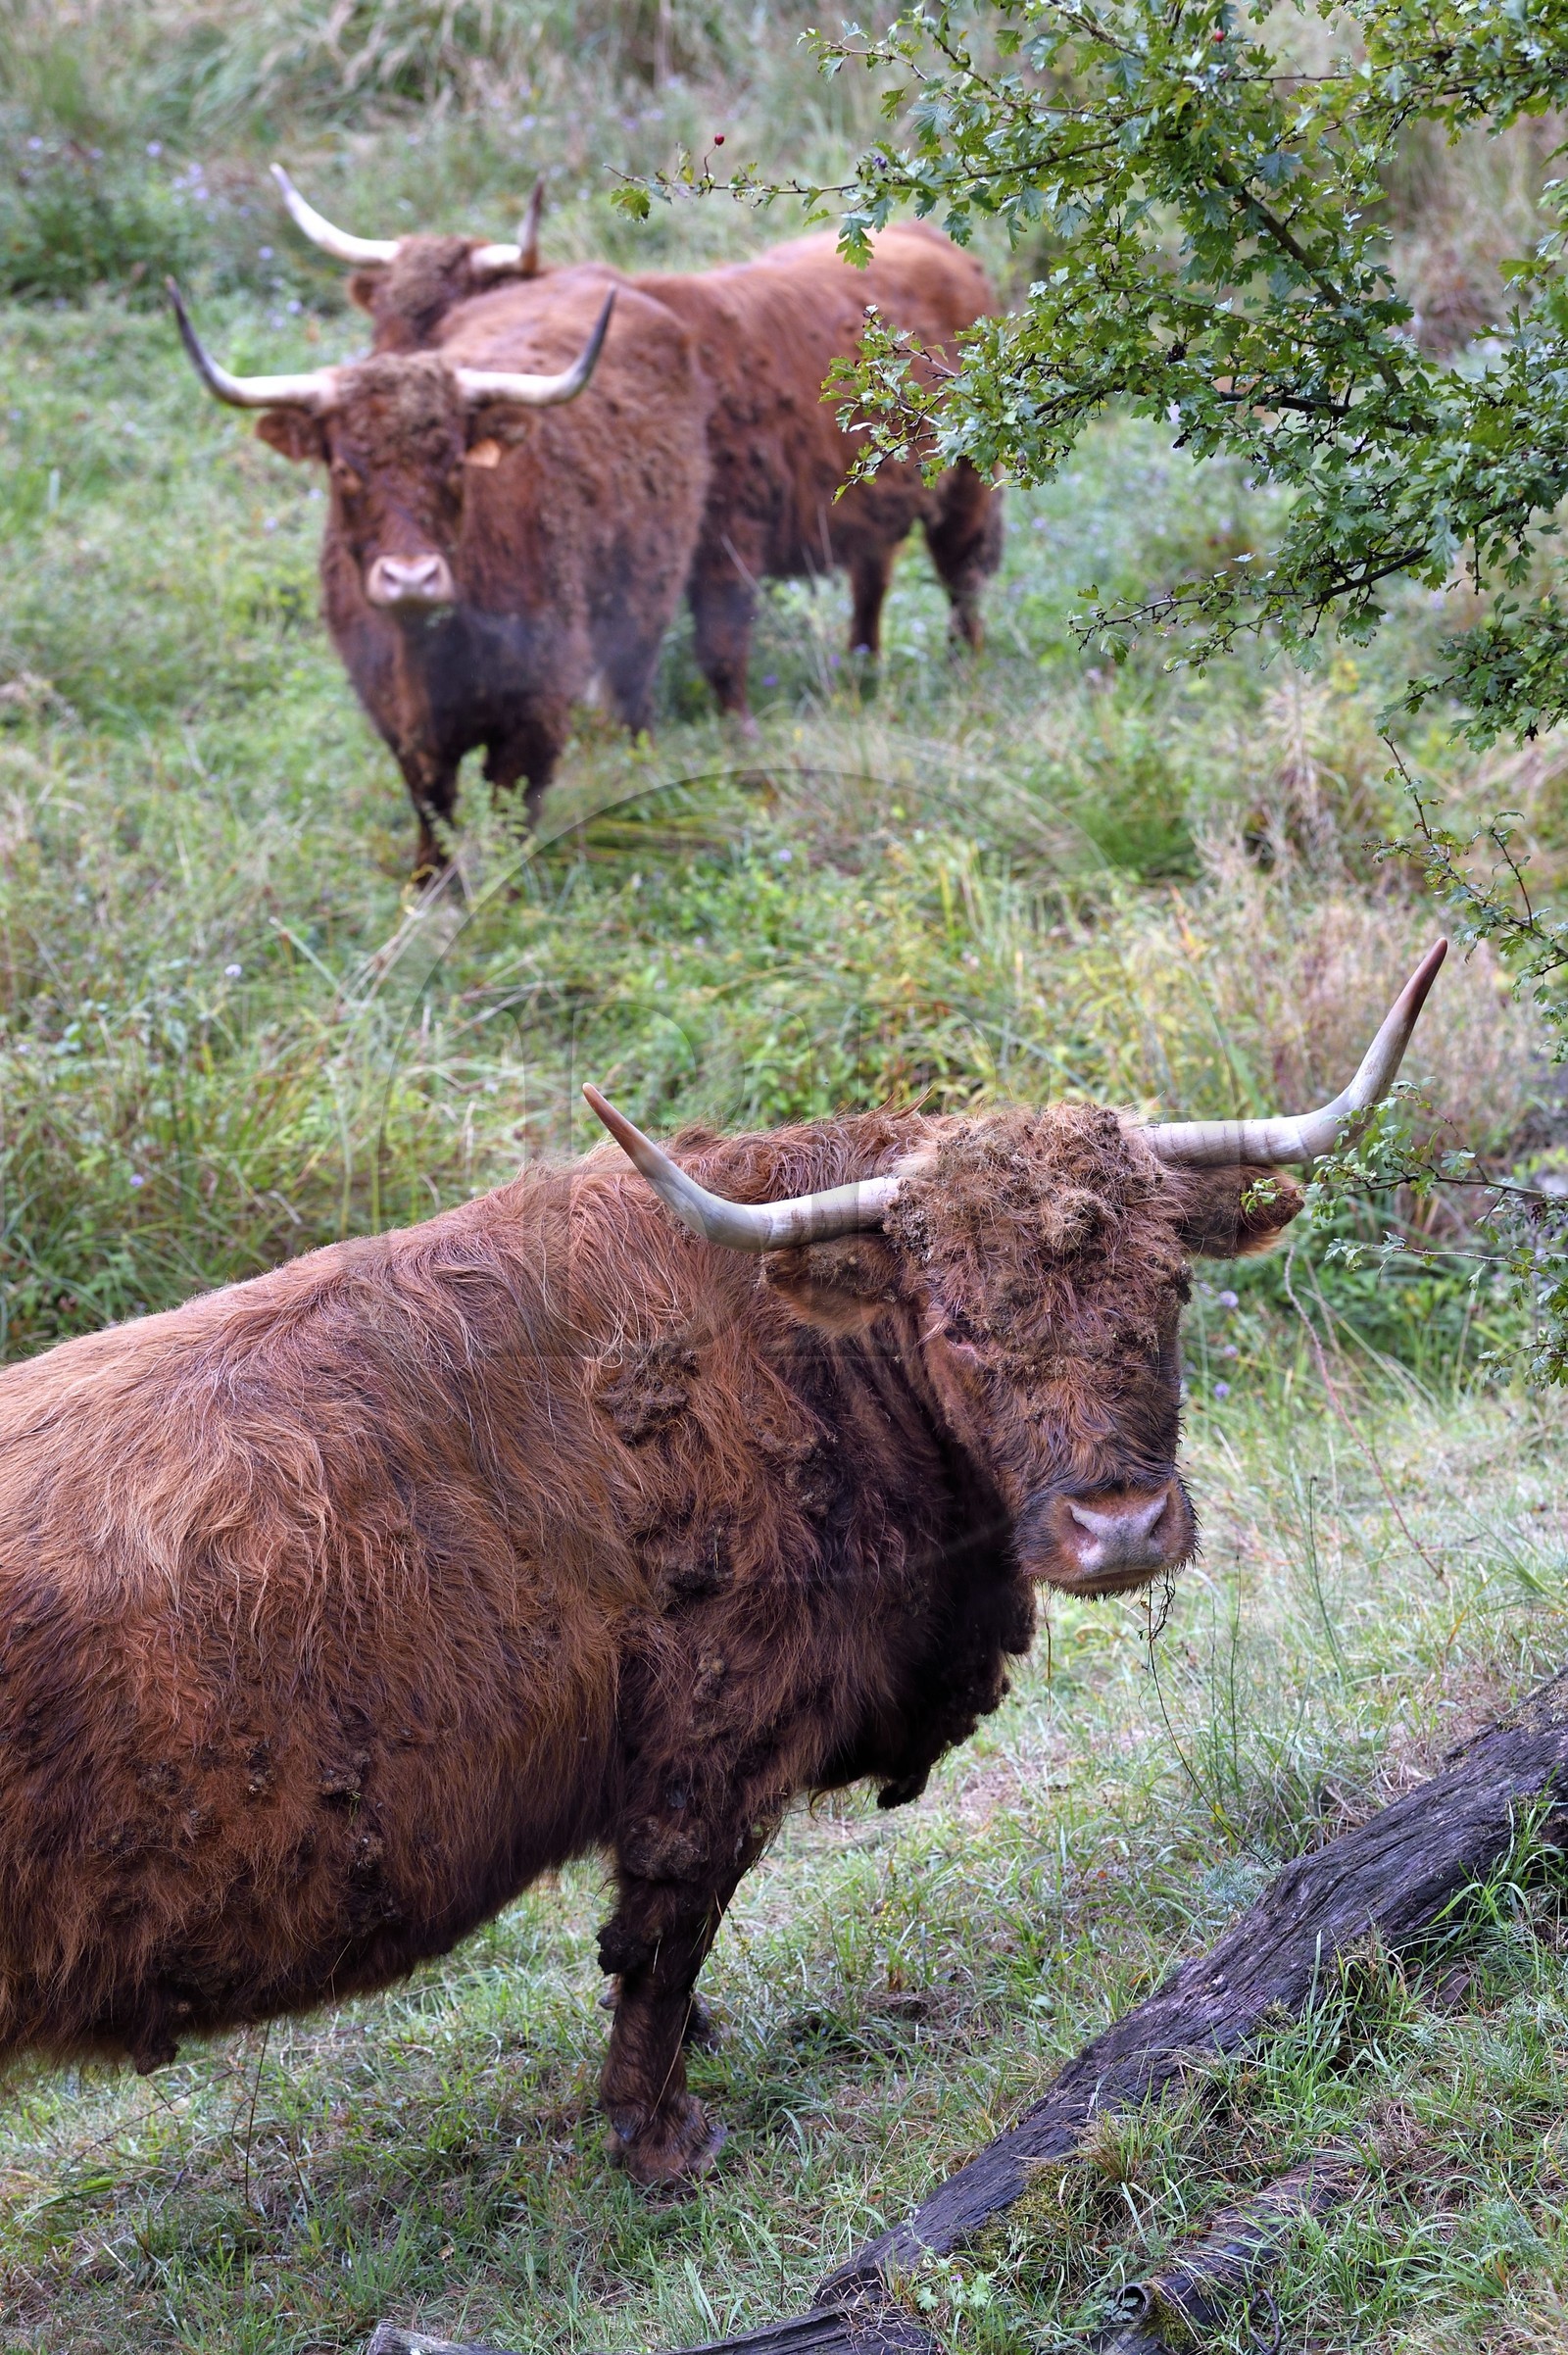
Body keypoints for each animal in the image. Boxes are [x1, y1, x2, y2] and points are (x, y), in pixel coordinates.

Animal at [0, 945, 1444, 2185]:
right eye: (959, 1328)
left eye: (1170, 1290)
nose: (1123, 1522)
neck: (799, 1356)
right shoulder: (711, 1733)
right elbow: (664, 1937)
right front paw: (661, 2138)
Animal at [168, 267, 711, 877]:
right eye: (343, 468)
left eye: (453, 462)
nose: (411, 578)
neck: (430, 656)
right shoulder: (397, 720)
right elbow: (434, 809)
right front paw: (429, 886)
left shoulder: (538, 712)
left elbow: (510, 816)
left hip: (646, 608)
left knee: (633, 701)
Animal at [272, 167, 1005, 715]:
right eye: (381, 317)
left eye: (441, 320)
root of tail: (935, 240)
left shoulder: (727, 538)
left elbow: (720, 650)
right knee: (873, 574)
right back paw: (863, 670)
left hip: (969, 477)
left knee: (960, 574)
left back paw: (967, 674)